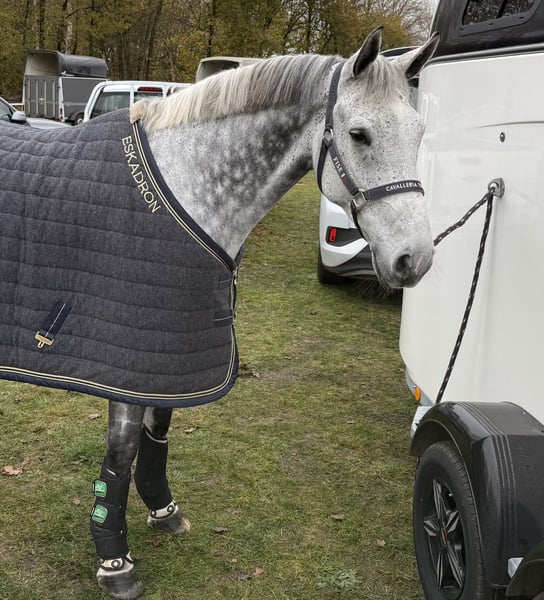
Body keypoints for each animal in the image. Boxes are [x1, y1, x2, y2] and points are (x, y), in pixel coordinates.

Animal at [0, 28, 438, 599]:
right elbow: (120, 453)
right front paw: (115, 562)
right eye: (359, 134)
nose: (415, 259)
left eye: (419, 132)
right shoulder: (127, 361)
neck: (190, 185)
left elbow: (158, 432)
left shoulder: (169, 355)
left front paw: (163, 510)